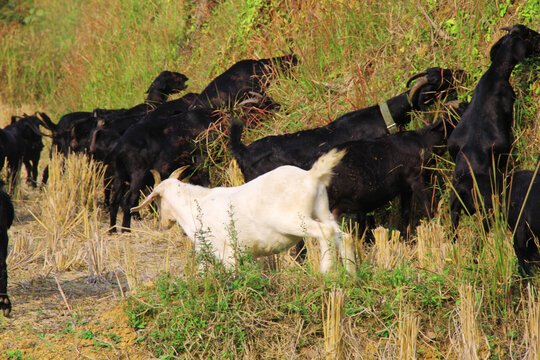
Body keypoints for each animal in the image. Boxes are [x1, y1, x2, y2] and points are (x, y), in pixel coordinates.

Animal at [132, 148, 354, 272]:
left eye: (157, 201)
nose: (162, 224)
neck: (194, 204)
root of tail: (311, 176)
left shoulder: (225, 253)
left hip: (292, 220)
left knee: (325, 233)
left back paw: (326, 272)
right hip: (322, 210)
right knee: (343, 235)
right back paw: (350, 275)